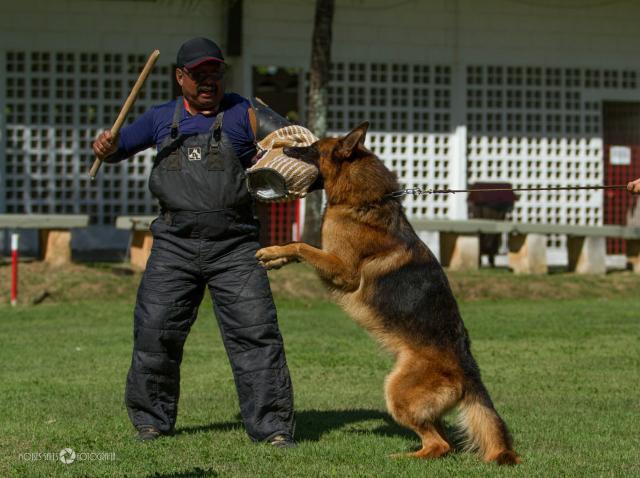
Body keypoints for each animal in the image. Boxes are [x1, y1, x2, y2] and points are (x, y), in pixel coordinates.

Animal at [255, 122, 520, 464]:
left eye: (312, 149)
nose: (285, 149)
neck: (364, 200)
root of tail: (468, 371)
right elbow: (297, 247)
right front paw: (275, 256)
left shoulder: (344, 271)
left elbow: (301, 245)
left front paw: (274, 250)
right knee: (442, 441)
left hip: (396, 390)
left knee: (440, 445)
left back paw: (401, 457)